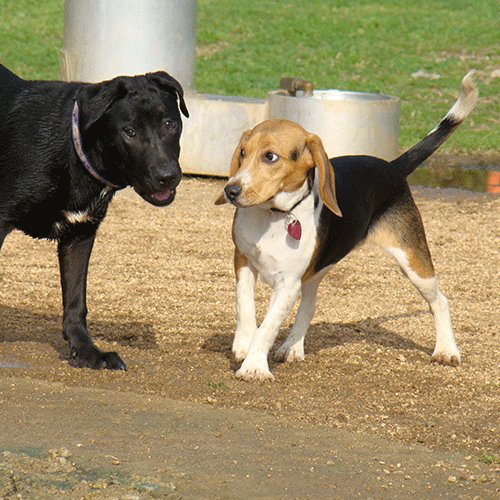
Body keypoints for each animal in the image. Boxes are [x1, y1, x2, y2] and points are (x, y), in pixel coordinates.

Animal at [0, 64, 189, 372]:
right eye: (129, 131)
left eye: (170, 124)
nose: (168, 176)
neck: (73, 149)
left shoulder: (80, 236)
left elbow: (76, 303)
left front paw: (88, 352)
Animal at [214, 72, 476, 380]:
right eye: (243, 152)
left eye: (270, 157)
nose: (231, 190)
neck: (275, 216)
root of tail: (393, 167)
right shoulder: (243, 260)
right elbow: (245, 307)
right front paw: (243, 345)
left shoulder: (287, 284)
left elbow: (267, 326)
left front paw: (254, 366)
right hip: (316, 271)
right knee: (309, 306)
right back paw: (292, 346)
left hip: (414, 262)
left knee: (440, 301)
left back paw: (446, 350)